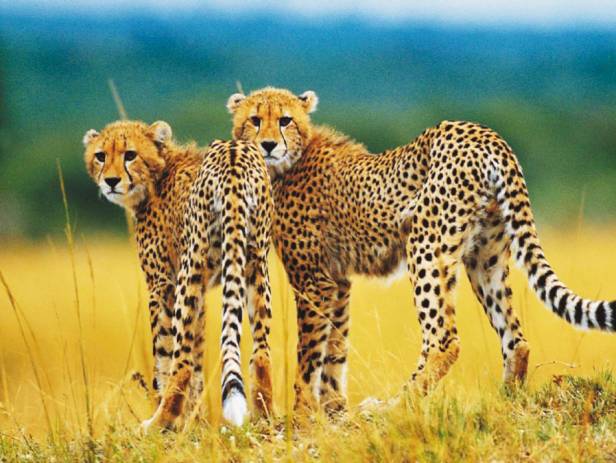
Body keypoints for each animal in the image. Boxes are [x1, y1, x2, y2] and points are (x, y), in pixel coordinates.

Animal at [83, 119, 274, 428]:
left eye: (130, 154)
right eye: (101, 155)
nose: (110, 181)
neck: (157, 175)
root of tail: (233, 153)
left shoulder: (163, 285)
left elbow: (165, 355)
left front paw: (175, 421)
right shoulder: (203, 289)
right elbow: (198, 359)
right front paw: (194, 421)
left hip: (191, 267)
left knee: (180, 362)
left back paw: (157, 422)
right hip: (254, 265)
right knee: (261, 353)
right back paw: (264, 416)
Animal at [227, 89, 616, 416]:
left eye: (285, 120)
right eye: (255, 120)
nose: (267, 145)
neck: (291, 160)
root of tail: (486, 134)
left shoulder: (313, 281)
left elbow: (309, 355)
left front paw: (303, 413)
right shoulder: (336, 281)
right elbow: (334, 348)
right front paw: (332, 408)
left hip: (426, 244)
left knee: (443, 341)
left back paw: (391, 406)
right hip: (485, 257)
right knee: (515, 339)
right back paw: (505, 401)